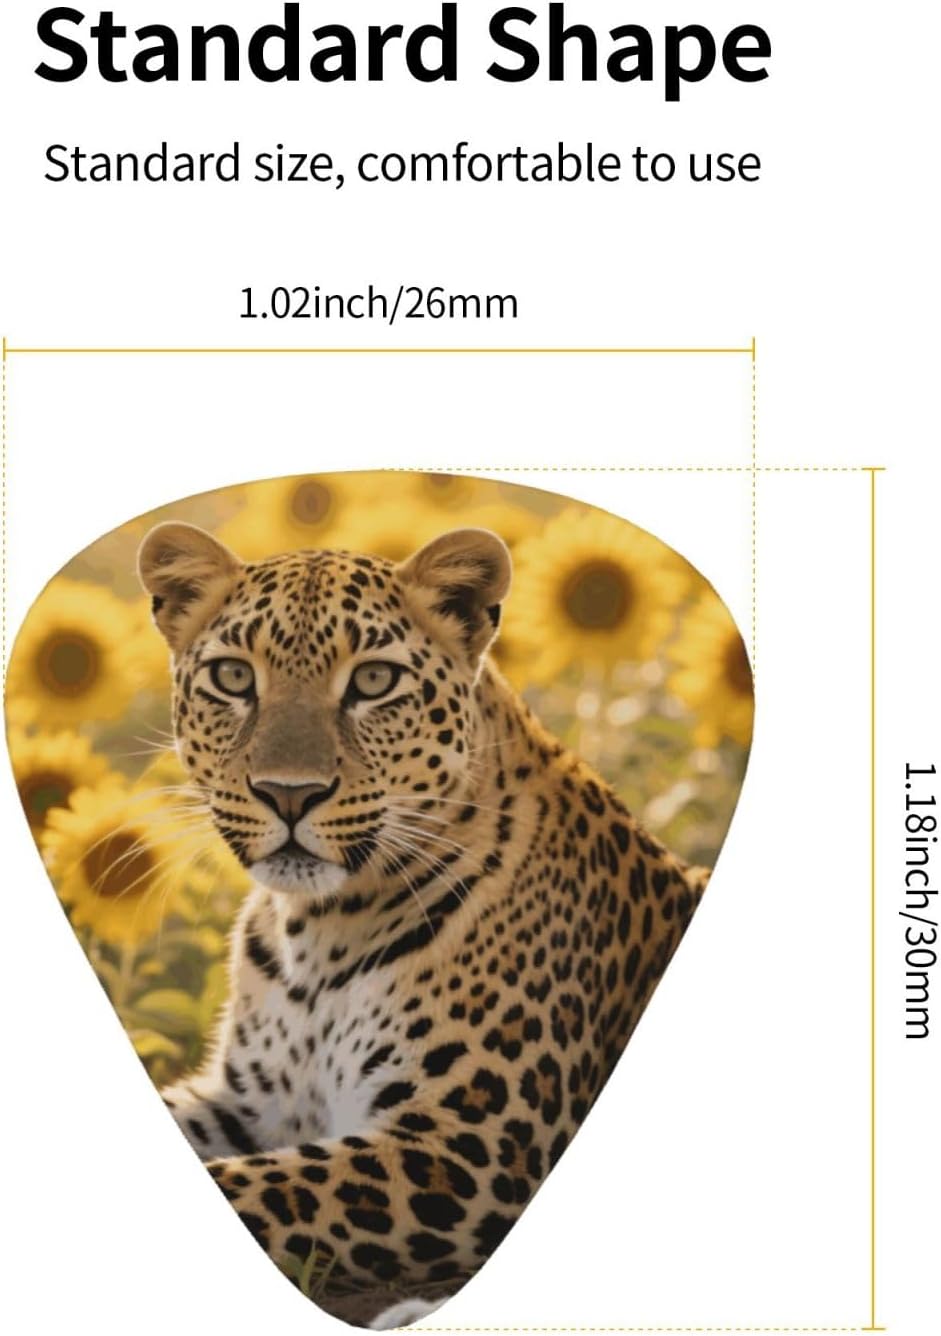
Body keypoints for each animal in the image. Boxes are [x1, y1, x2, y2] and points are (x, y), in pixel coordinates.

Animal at [137, 519, 712, 1326]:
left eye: (374, 682)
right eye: (233, 678)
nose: (289, 794)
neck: (317, 931)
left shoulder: (468, 1145)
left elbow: (256, 1184)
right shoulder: (248, 1102)